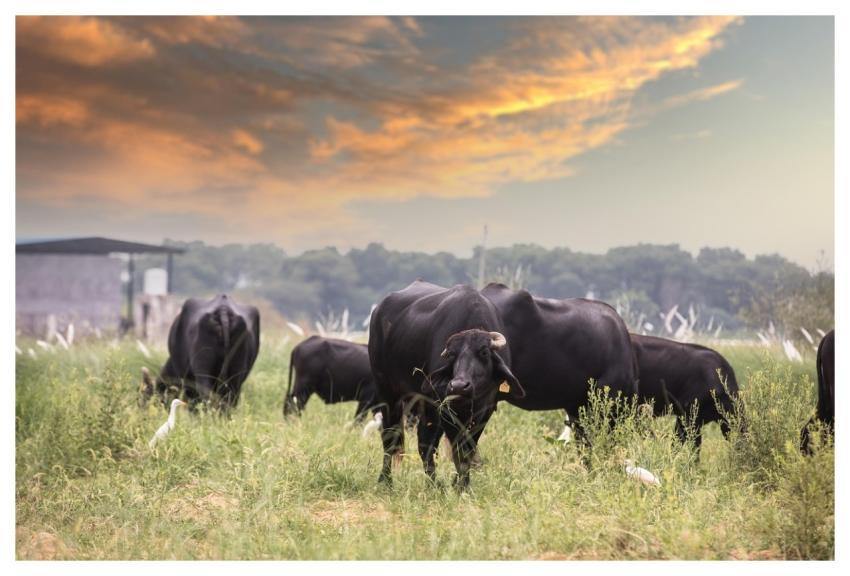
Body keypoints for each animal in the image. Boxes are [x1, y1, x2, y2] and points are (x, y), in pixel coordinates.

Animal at [368, 280, 525, 489]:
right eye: (451, 355)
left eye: (484, 352)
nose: (458, 386)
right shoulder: (445, 408)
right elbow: (458, 448)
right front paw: (461, 485)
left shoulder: (486, 409)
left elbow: (468, 448)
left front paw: (460, 484)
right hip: (388, 392)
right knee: (392, 437)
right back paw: (387, 481)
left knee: (424, 440)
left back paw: (433, 483)